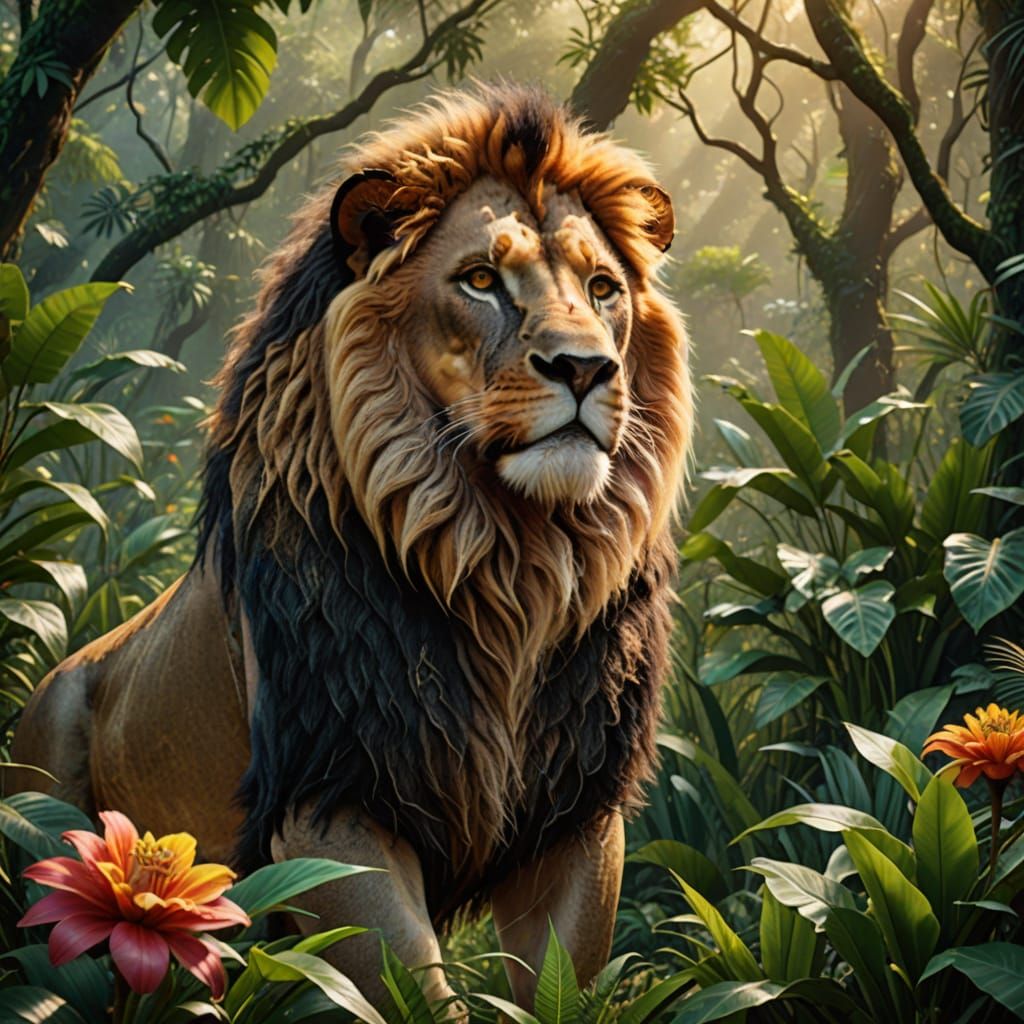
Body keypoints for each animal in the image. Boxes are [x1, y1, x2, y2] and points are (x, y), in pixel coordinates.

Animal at [10, 84, 692, 1010]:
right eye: (481, 280)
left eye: (603, 288)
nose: (585, 368)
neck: (510, 564)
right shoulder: (329, 797)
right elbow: (412, 992)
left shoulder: (579, 809)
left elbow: (556, 984)